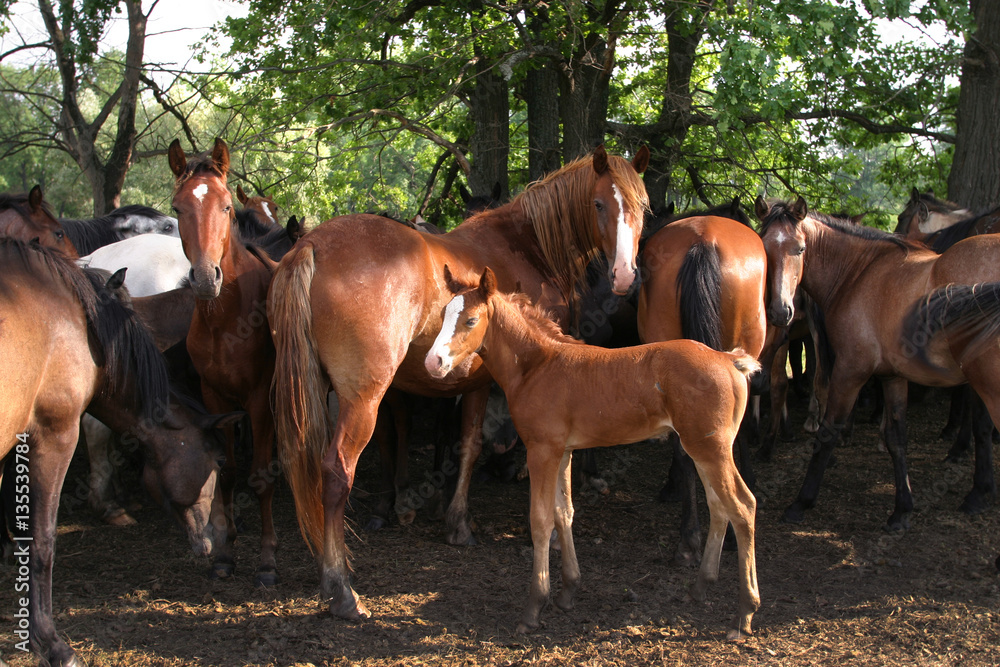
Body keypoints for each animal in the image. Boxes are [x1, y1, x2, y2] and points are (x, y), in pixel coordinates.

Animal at [167, 137, 296, 587]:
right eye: (177, 209)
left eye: (225, 206)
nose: (207, 278)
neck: (227, 320)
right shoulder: (216, 398)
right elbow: (226, 472)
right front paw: (225, 551)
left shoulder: (258, 400)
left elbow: (259, 478)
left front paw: (268, 560)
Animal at [269, 143, 650, 620]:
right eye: (599, 204)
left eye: (642, 206)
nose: (624, 275)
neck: (524, 245)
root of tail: (313, 244)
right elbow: (474, 447)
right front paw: (462, 524)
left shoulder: (473, 382)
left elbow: (463, 444)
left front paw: (451, 518)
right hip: (363, 400)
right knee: (336, 473)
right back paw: (341, 589)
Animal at [425, 266, 760, 639]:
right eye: (443, 315)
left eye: (470, 320)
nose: (433, 362)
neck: (537, 366)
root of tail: (728, 359)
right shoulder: (563, 451)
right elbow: (564, 513)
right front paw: (568, 591)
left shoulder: (541, 450)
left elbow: (541, 520)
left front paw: (534, 607)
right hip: (703, 448)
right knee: (719, 506)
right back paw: (700, 587)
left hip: (710, 448)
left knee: (743, 506)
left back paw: (745, 614)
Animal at [756, 196, 999, 530]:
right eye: (764, 246)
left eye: (801, 249)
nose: (781, 312)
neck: (858, 274)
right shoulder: (891, 376)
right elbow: (896, 438)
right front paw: (902, 510)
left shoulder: (850, 371)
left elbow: (828, 431)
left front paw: (801, 503)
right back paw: (978, 493)